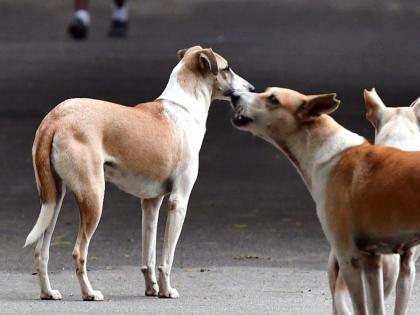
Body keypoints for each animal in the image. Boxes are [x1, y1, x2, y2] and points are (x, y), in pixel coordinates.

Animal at [25, 45, 253, 302]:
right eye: (227, 68)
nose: (251, 89)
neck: (183, 107)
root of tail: (55, 117)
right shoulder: (178, 202)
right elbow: (166, 259)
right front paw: (167, 291)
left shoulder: (151, 203)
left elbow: (149, 256)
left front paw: (152, 289)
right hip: (93, 198)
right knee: (78, 252)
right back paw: (90, 293)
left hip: (54, 201)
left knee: (40, 251)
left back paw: (48, 292)